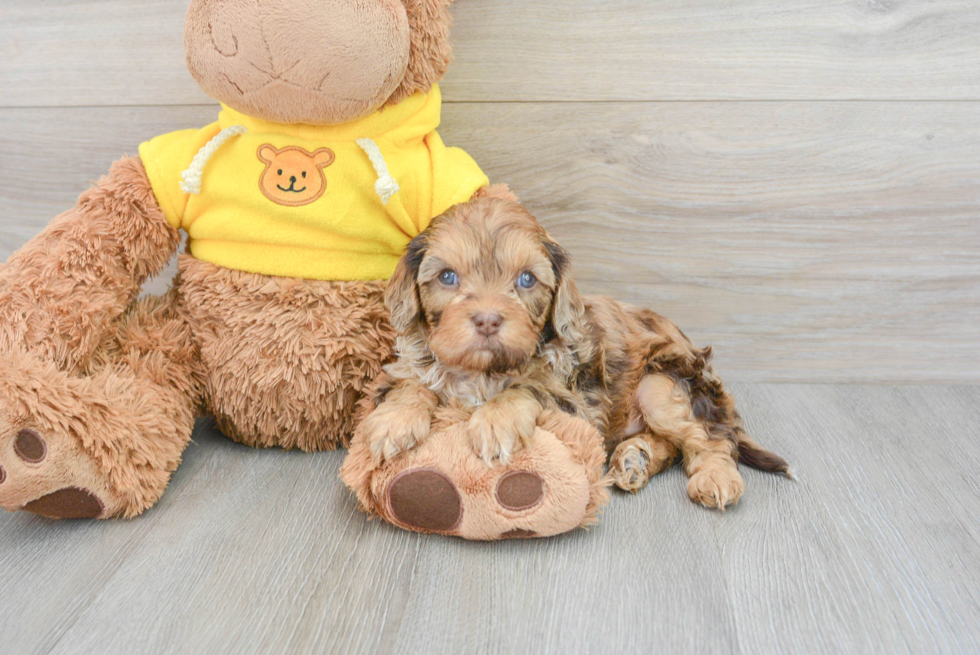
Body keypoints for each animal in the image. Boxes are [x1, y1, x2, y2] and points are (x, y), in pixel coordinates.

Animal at [360, 197, 788, 510]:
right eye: (447, 276)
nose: (486, 320)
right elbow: (412, 381)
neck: (483, 371)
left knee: (710, 438)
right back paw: (635, 459)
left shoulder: (576, 403)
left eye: (526, 280)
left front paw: (495, 420)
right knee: (671, 444)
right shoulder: (414, 365)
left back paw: (715, 478)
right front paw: (394, 419)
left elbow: (528, 387)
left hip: (665, 382)